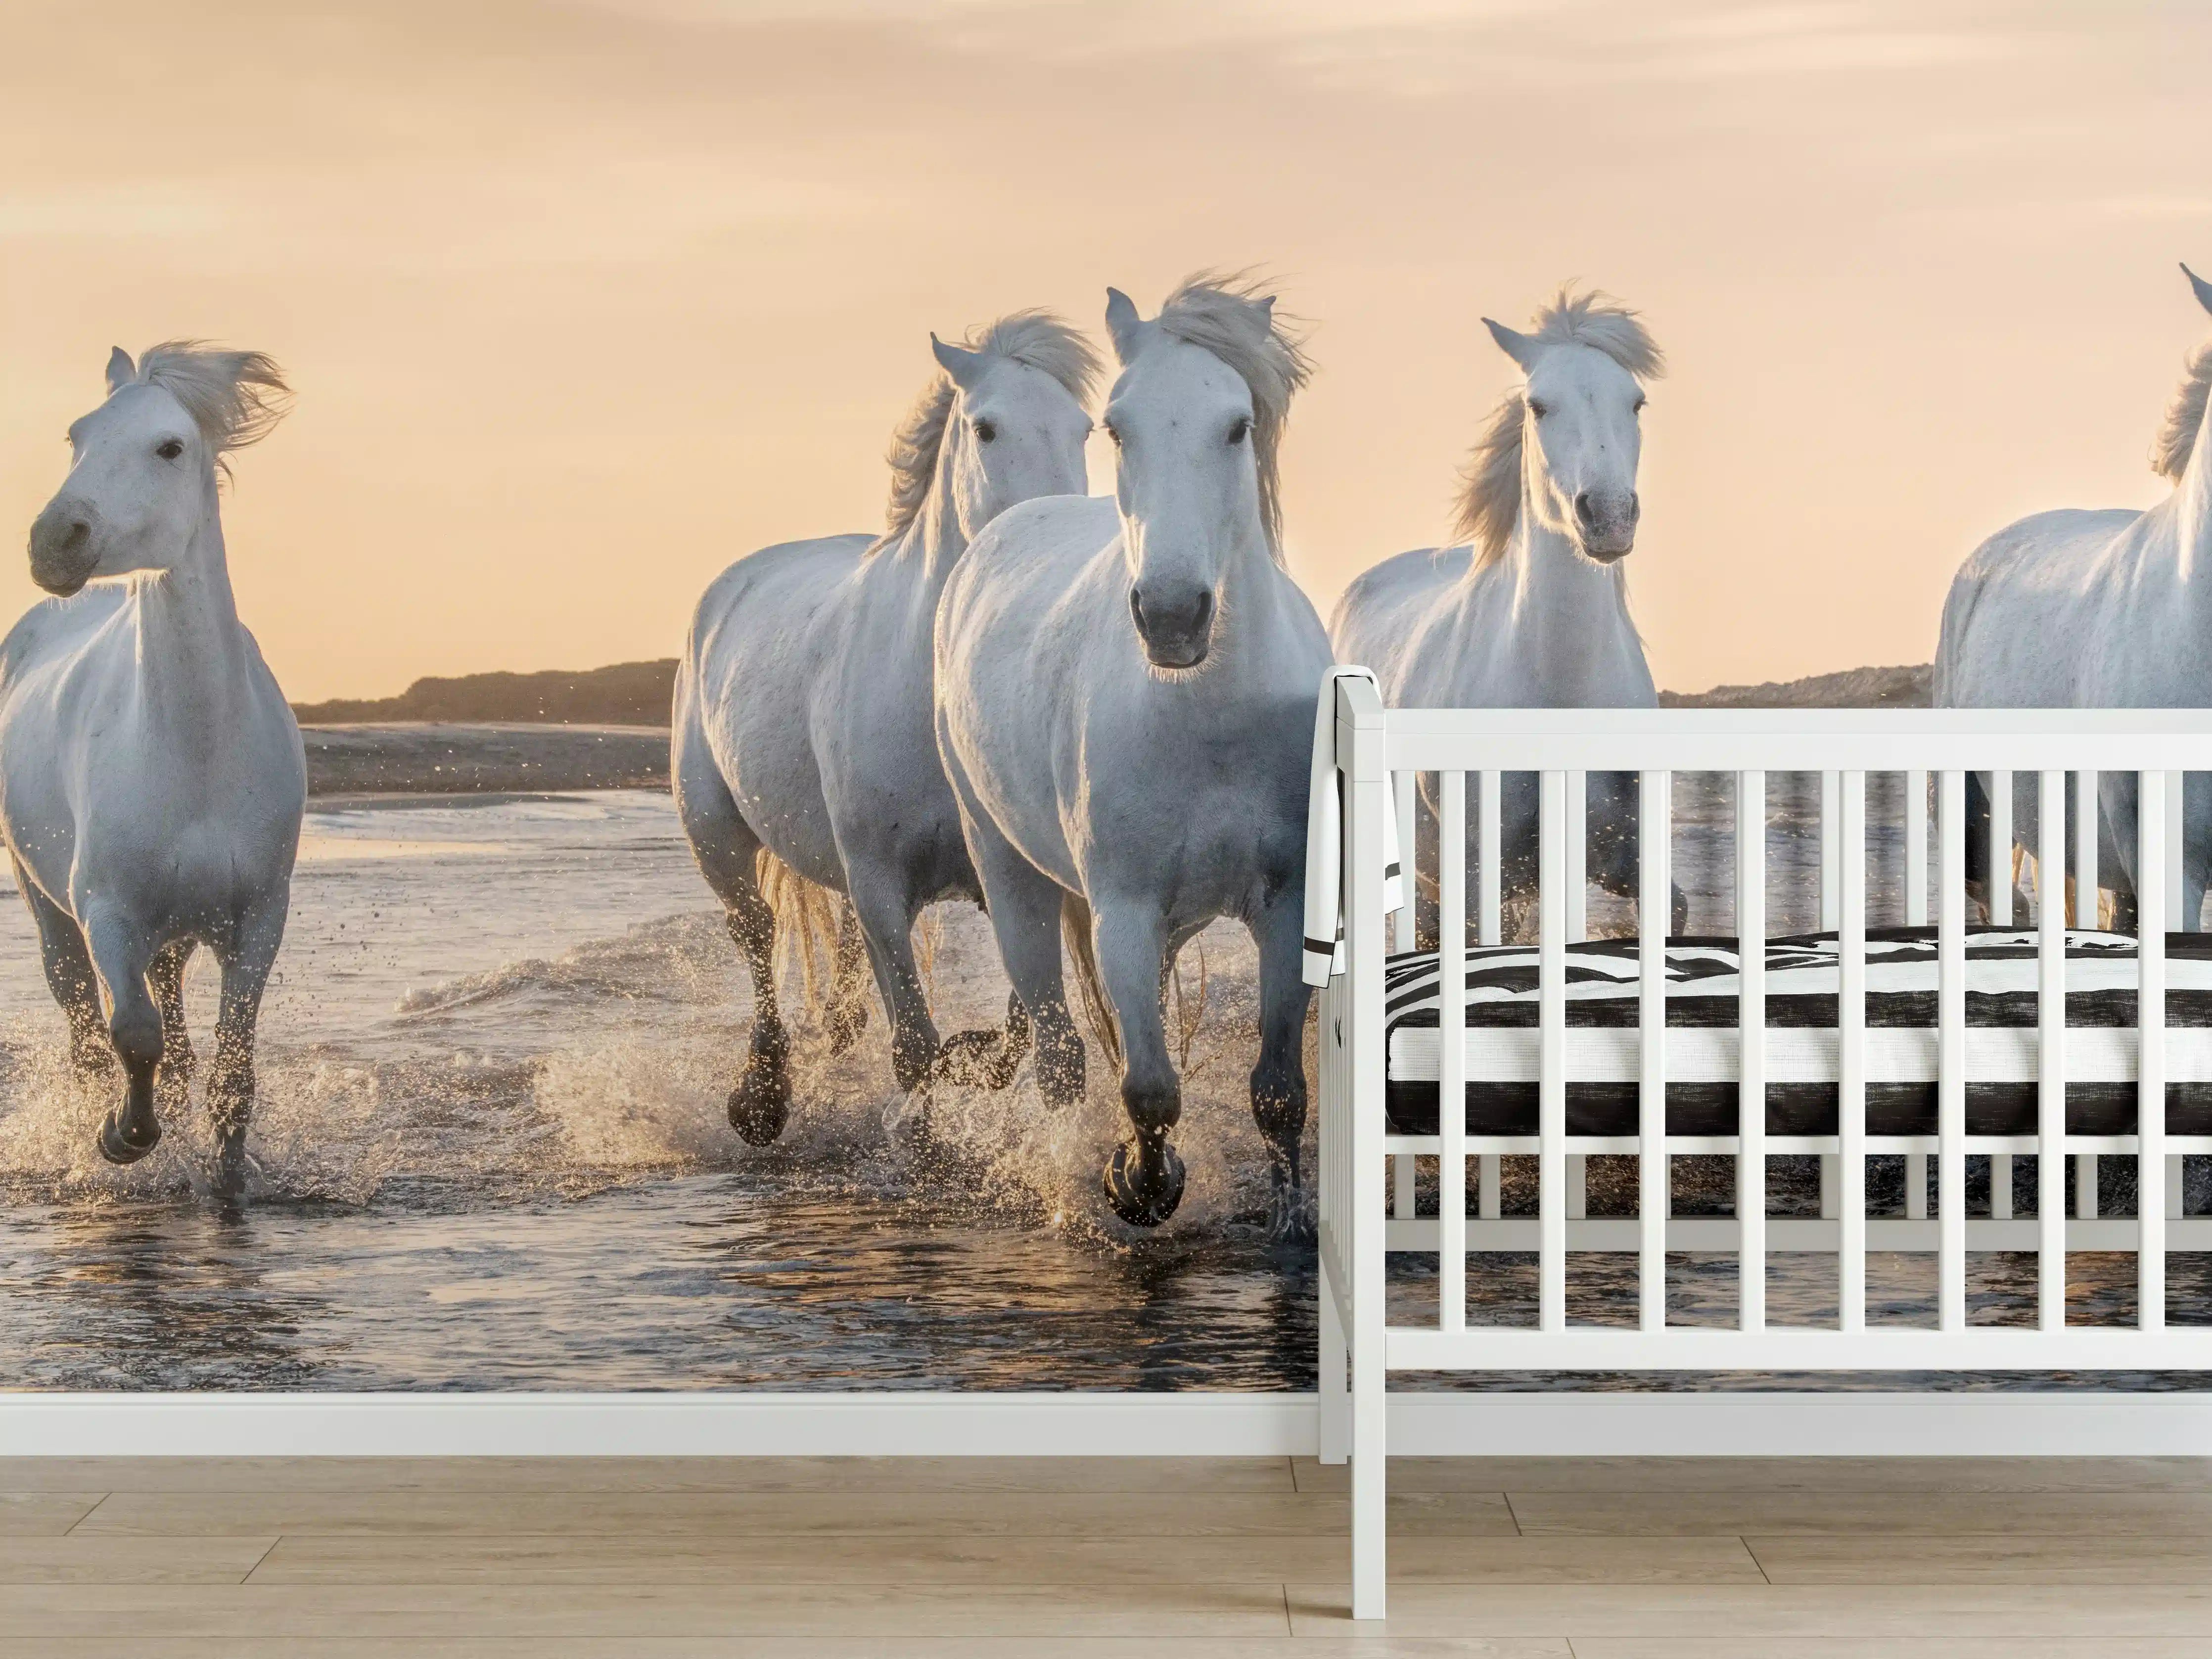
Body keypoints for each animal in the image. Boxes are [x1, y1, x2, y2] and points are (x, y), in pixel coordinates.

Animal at [3, 344, 306, 1195]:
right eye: (77, 435)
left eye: (169, 447)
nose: (54, 541)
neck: (195, 756)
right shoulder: (107, 910)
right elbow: (131, 1034)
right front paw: (122, 1137)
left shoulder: (258, 918)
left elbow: (231, 1067)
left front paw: (227, 1176)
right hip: (52, 910)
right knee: (86, 1025)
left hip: (172, 933)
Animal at [675, 311, 1100, 1142]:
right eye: (986, 427)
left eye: (1084, 428)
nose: (1053, 538)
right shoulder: (880, 886)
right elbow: (914, 1045)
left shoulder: (1008, 876)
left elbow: (1016, 1025)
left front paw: (973, 1061)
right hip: (718, 839)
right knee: (757, 937)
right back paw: (761, 1098)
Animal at [936, 275, 1329, 1235]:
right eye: (1117, 427)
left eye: (1237, 425)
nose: (1173, 614)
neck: (1212, 712)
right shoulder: (1123, 907)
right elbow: (1149, 1087)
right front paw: (1138, 1182)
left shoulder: (1288, 905)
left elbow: (1277, 1091)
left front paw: (1291, 1221)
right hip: (1011, 876)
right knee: (1060, 1052)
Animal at [1330, 287, 1681, 937]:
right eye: (1537, 406)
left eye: (1636, 402)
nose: (1609, 517)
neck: (1561, 696)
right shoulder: (1477, 884)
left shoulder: (1630, 865)